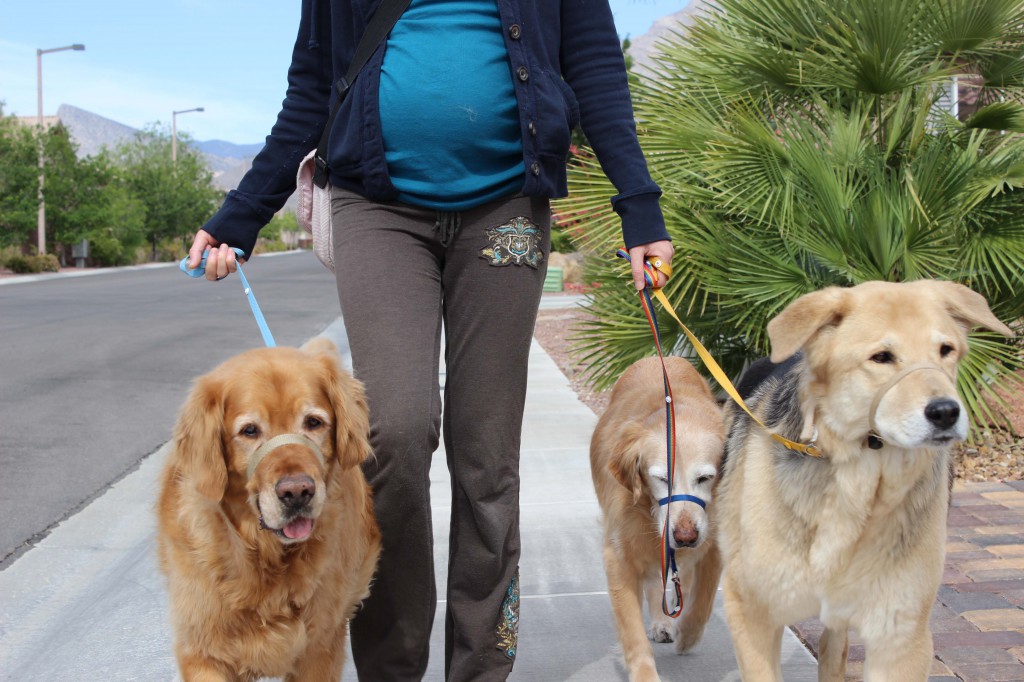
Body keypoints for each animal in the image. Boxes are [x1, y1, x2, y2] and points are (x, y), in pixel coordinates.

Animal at [157, 337, 382, 675]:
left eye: (313, 422)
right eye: (249, 430)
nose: (297, 492)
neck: (264, 555)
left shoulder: (319, 650)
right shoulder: (202, 653)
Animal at [589, 356, 724, 679]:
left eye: (705, 477)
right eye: (661, 478)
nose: (685, 536)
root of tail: (661, 357)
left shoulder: (714, 544)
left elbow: (703, 600)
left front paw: (688, 634)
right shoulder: (620, 556)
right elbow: (633, 633)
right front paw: (644, 674)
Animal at [716, 278, 1011, 679]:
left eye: (946, 350)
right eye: (881, 357)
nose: (946, 412)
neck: (861, 480)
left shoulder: (901, 636)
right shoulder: (752, 611)